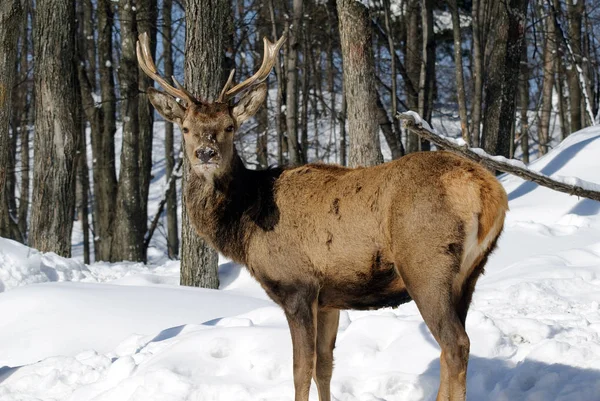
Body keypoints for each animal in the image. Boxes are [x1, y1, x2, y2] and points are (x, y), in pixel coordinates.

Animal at [138, 32, 508, 400]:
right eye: (186, 128)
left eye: (230, 126)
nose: (206, 153)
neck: (245, 225)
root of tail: (488, 191)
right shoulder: (329, 299)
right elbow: (325, 367)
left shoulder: (297, 286)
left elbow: (301, 369)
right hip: (470, 274)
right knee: (451, 347)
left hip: (427, 265)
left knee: (455, 344)